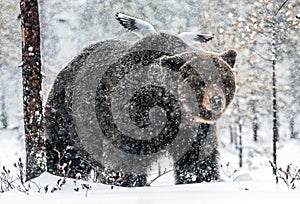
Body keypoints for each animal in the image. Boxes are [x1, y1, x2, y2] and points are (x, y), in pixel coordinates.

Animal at [44, 32, 237, 187]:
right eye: (200, 81)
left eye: (222, 79)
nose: (216, 100)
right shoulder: (132, 114)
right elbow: (125, 158)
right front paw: (127, 182)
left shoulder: (195, 131)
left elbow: (198, 160)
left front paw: (200, 180)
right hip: (69, 119)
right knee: (65, 153)